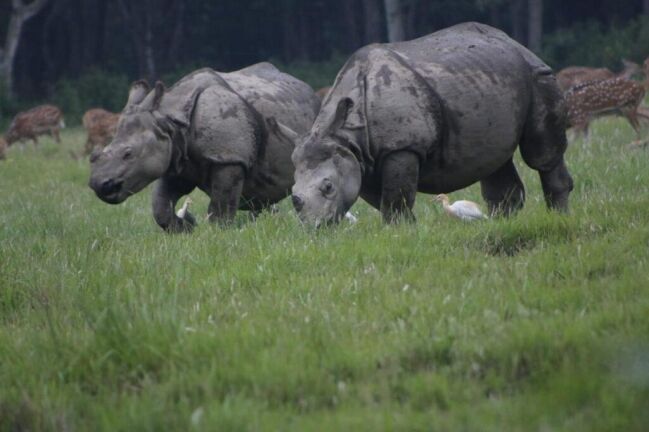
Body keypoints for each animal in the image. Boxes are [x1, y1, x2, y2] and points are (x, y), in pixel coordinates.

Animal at [89, 65, 320, 232]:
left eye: (128, 154)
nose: (99, 185)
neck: (169, 121)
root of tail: (308, 88)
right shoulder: (175, 161)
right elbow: (160, 206)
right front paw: (186, 226)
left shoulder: (228, 159)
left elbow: (220, 207)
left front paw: (218, 234)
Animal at [278, 22, 574, 225]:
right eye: (293, 192)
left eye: (328, 187)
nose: (316, 228)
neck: (345, 135)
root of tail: (513, 42)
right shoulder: (361, 158)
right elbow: (385, 200)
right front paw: (403, 229)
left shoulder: (402, 146)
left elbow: (395, 199)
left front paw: (399, 232)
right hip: (495, 77)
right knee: (494, 158)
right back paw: (503, 223)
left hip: (538, 75)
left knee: (541, 154)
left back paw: (559, 217)